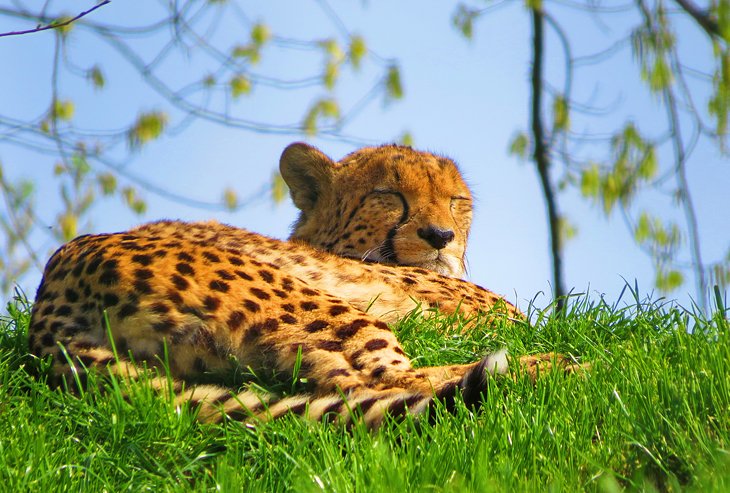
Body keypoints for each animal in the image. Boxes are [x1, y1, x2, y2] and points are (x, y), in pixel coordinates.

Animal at [28, 142, 584, 426]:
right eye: (389, 195)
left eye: (456, 201)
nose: (441, 237)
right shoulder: (491, 317)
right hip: (316, 305)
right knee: (382, 381)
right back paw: (550, 368)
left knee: (336, 385)